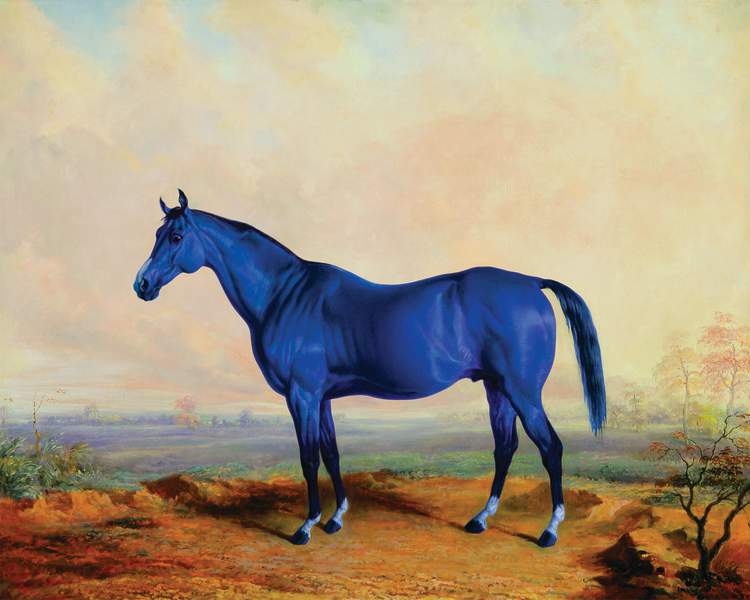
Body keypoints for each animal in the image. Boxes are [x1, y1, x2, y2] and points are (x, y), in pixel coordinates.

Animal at [133, 190, 606, 547]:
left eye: (176, 235)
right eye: (156, 233)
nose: (142, 284)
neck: (284, 294)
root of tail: (531, 283)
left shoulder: (302, 395)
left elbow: (308, 457)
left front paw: (305, 527)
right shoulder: (321, 397)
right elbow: (331, 453)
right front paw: (335, 518)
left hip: (522, 391)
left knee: (550, 448)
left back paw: (549, 531)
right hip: (497, 388)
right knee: (505, 448)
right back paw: (480, 519)